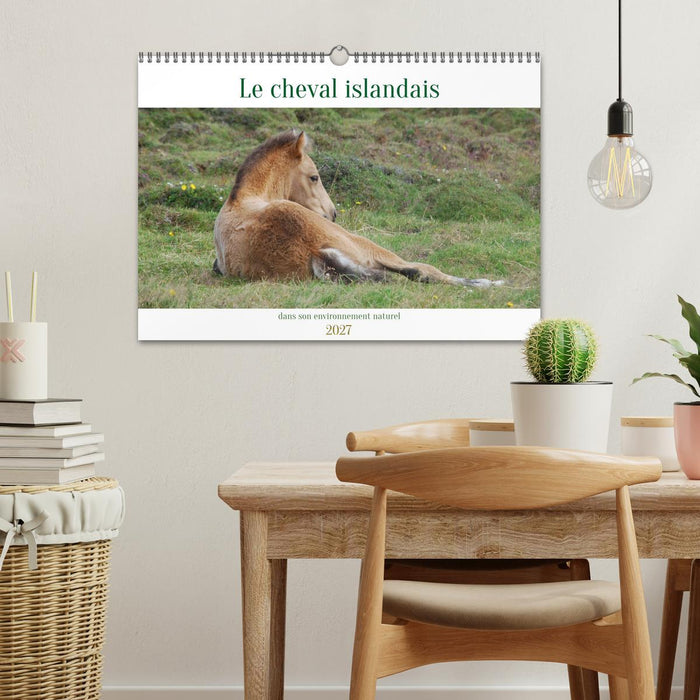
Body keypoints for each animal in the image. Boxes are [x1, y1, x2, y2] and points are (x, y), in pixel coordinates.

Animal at [213, 130, 502, 287]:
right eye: (314, 177)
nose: (333, 214)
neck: (246, 198)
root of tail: (312, 251)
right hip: (364, 246)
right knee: (420, 270)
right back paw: (488, 283)